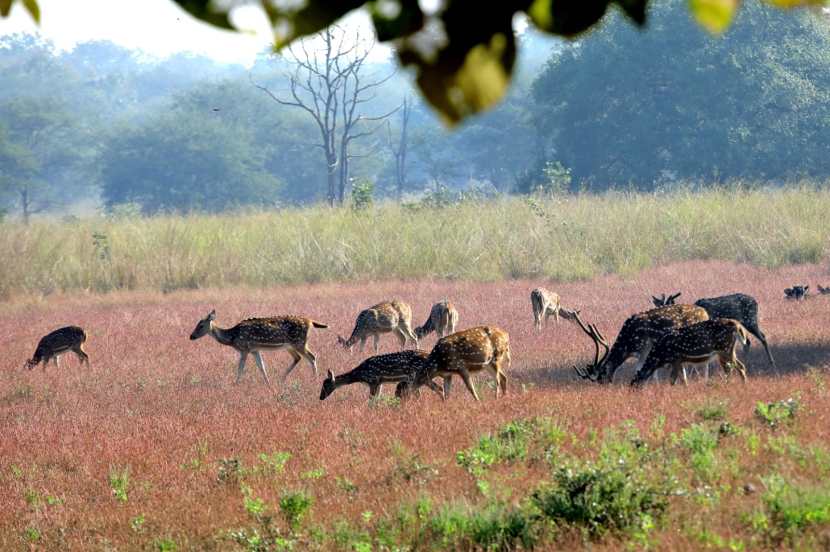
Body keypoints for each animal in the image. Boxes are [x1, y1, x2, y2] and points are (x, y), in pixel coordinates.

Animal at [191, 308, 328, 386]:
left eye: (201, 325)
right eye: (197, 324)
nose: (191, 336)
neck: (232, 337)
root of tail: (310, 321)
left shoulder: (244, 348)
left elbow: (240, 368)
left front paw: (235, 384)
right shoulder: (254, 350)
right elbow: (261, 366)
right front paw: (268, 385)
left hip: (299, 342)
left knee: (311, 357)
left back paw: (315, 380)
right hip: (290, 345)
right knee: (298, 358)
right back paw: (281, 379)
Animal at [576, 302, 712, 384]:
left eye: (601, 377)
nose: (605, 387)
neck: (628, 346)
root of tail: (705, 313)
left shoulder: (645, 349)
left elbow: (641, 369)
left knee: (706, 361)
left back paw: (704, 380)